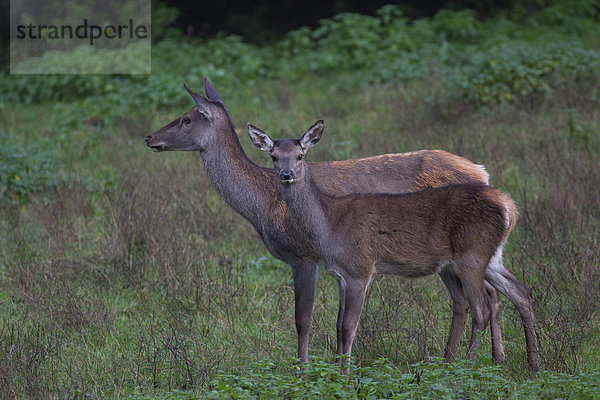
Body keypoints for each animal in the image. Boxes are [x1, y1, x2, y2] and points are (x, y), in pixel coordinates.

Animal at [246, 120, 540, 370]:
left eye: (300, 155)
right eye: (274, 156)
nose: (286, 174)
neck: (329, 224)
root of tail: (509, 207)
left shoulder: (360, 268)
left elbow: (348, 327)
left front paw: (345, 376)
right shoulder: (340, 274)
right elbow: (338, 324)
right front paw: (336, 372)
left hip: (471, 255)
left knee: (481, 307)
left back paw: (467, 367)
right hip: (490, 256)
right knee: (521, 291)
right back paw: (533, 364)